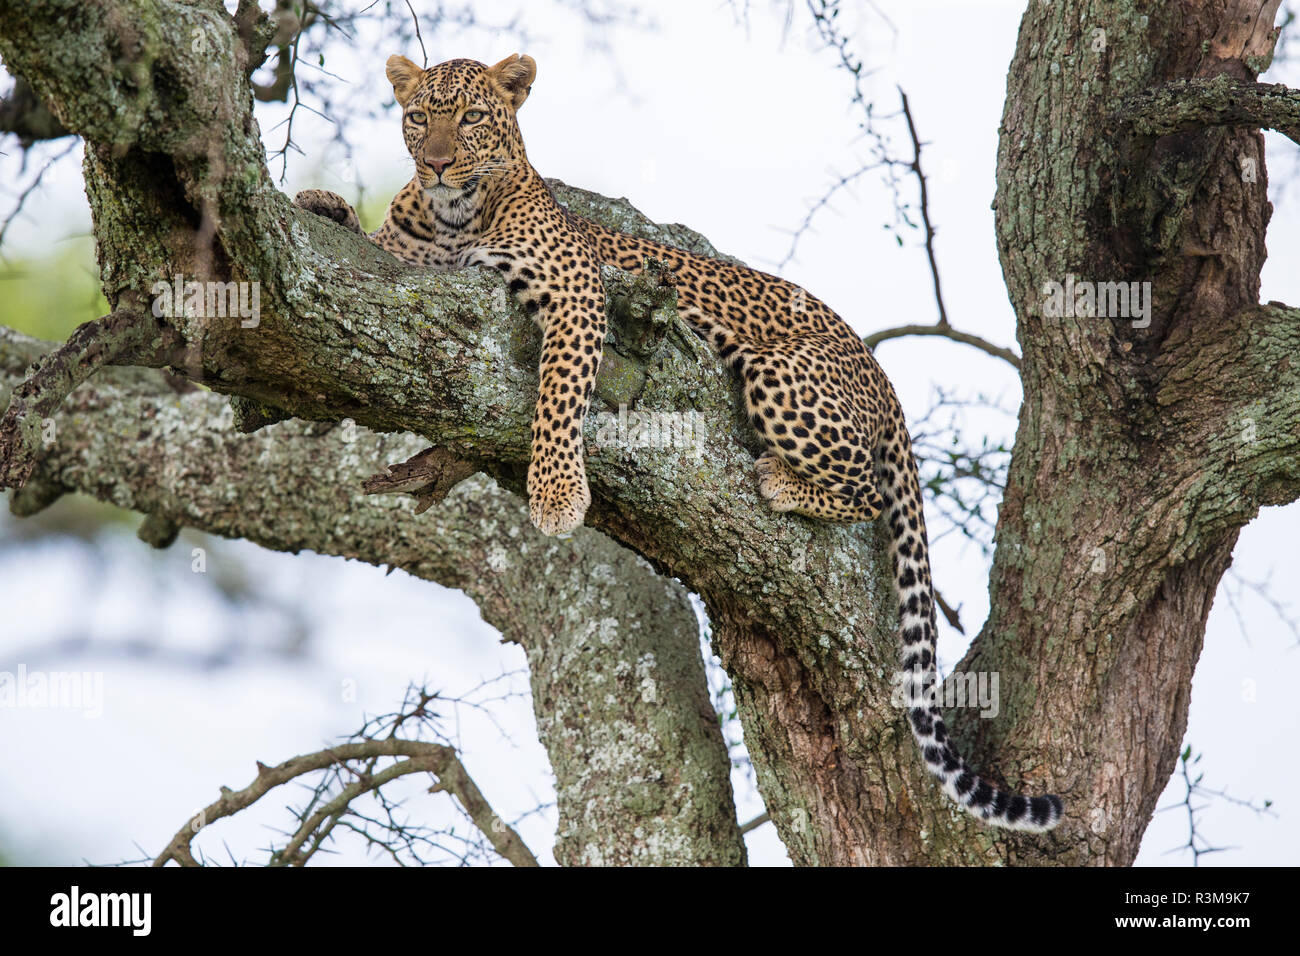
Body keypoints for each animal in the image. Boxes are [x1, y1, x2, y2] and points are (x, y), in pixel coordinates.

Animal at [297, 52, 1066, 832]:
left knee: (867, 488)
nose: (436, 162)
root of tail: (879, 371)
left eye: (473, 117)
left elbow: (559, 394)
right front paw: (323, 203)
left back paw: (781, 481)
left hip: (780, 373)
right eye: (419, 116)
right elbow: (376, 248)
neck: (452, 219)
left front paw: (557, 494)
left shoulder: (577, 293)